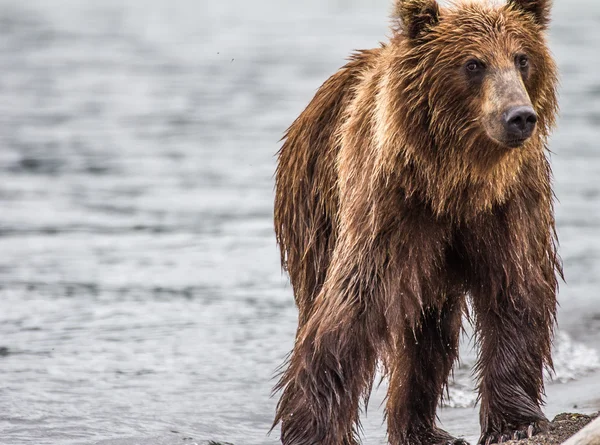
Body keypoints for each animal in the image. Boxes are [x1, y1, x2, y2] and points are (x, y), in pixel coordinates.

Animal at [274, 0, 560, 444]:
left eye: (522, 58)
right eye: (473, 63)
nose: (519, 116)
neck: (455, 183)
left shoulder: (509, 205)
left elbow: (516, 289)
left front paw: (518, 422)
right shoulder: (390, 207)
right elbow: (350, 308)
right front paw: (311, 428)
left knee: (428, 333)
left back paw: (423, 429)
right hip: (314, 212)